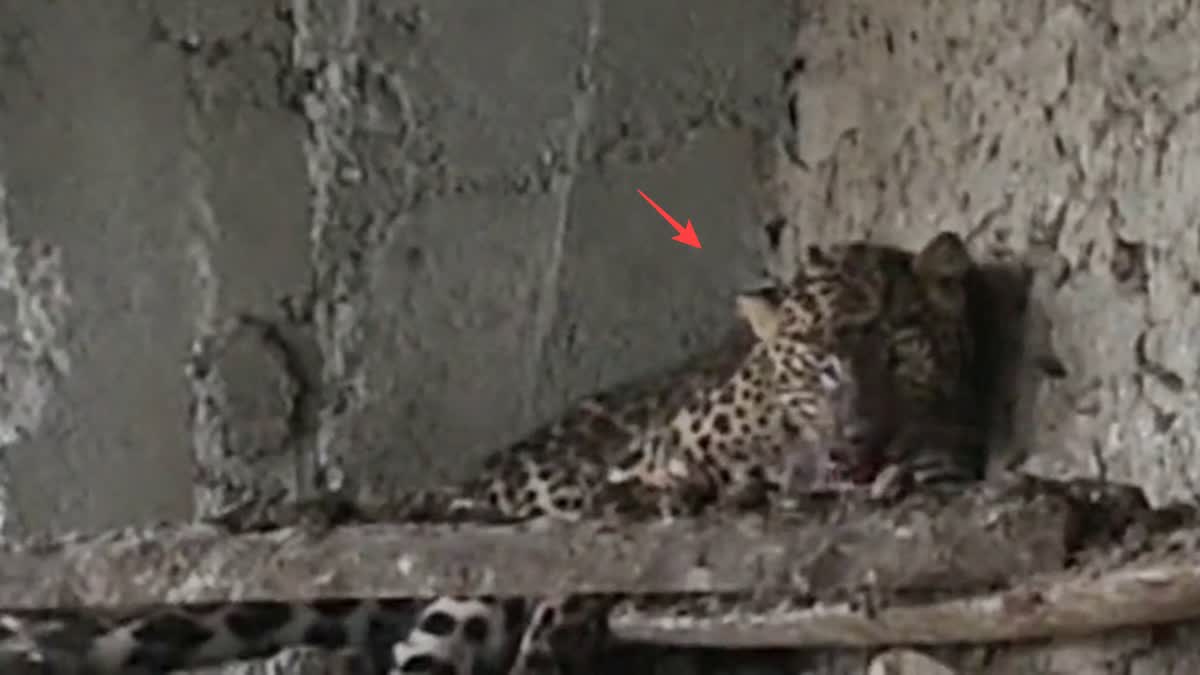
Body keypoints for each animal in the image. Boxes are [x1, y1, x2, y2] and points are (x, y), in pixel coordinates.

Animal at [0, 229, 984, 675]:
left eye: (902, 347)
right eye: (817, 363)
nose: (858, 439)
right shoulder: (623, 482)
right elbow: (593, 551)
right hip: (472, 568)